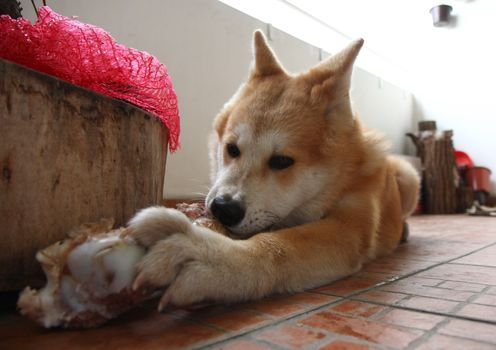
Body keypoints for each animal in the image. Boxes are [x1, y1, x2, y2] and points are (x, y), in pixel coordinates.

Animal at [127, 30, 418, 308]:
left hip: (409, 177)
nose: (223, 209)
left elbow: (279, 244)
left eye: (281, 161)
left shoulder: (348, 228)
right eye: (232, 148)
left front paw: (212, 257)